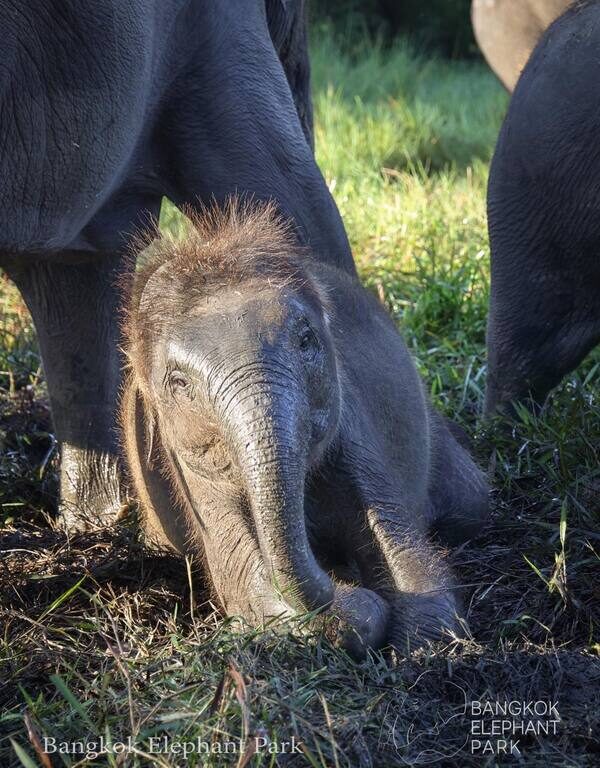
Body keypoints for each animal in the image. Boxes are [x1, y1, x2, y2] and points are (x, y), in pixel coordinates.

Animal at [121, 201, 490, 656]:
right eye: (178, 383)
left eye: (305, 339)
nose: (342, 583)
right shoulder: (187, 470)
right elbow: (245, 585)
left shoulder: (353, 430)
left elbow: (413, 563)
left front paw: (415, 645)